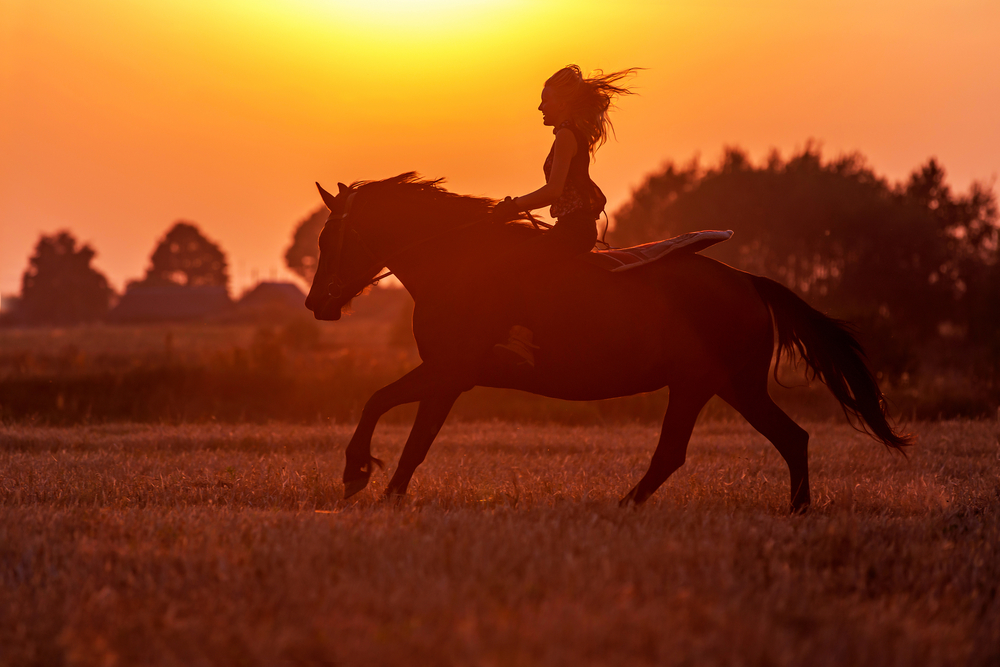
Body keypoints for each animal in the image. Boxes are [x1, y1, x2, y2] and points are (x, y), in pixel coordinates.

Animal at [304, 173, 911, 512]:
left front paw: (362, 477)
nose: (316, 304)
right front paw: (379, 487)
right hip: (732, 387)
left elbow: (390, 416)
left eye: (331, 237)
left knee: (676, 452)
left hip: (698, 386)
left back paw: (623, 505)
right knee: (792, 438)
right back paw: (797, 511)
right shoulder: (448, 376)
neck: (455, 265)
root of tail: (748, 282)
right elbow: (401, 424)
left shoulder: (450, 372)